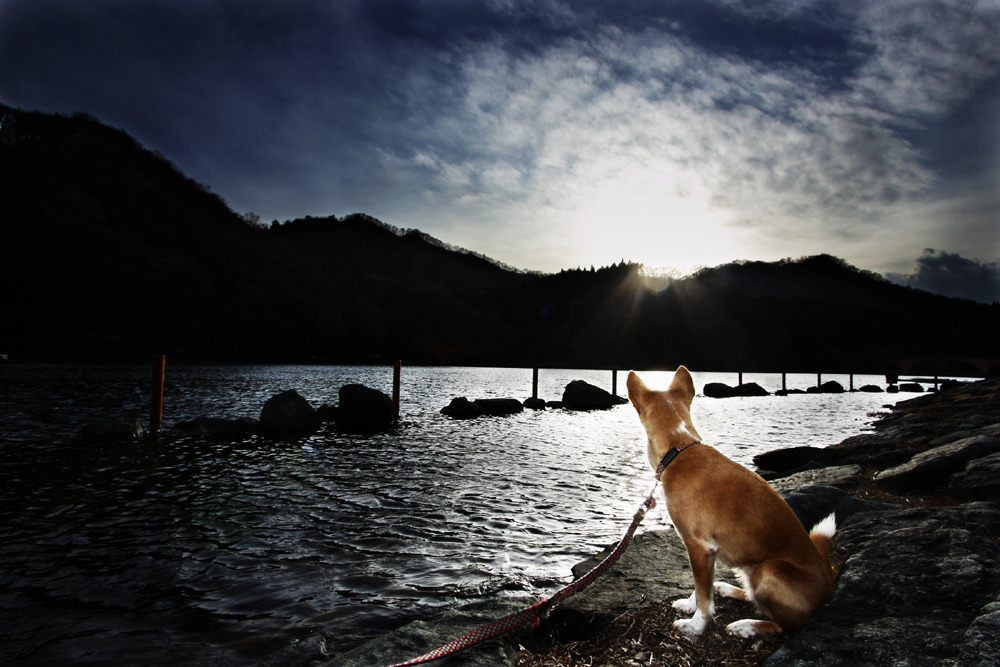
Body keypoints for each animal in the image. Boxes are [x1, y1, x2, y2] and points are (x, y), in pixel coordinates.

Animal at [624, 368, 836, 640]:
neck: (679, 449)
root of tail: (830, 582)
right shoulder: (708, 553)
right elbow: (700, 587)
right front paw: (691, 605)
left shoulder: (700, 546)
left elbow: (704, 597)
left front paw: (696, 625)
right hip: (750, 569)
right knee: (750, 595)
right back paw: (724, 588)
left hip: (768, 571)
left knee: (784, 626)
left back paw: (745, 626)